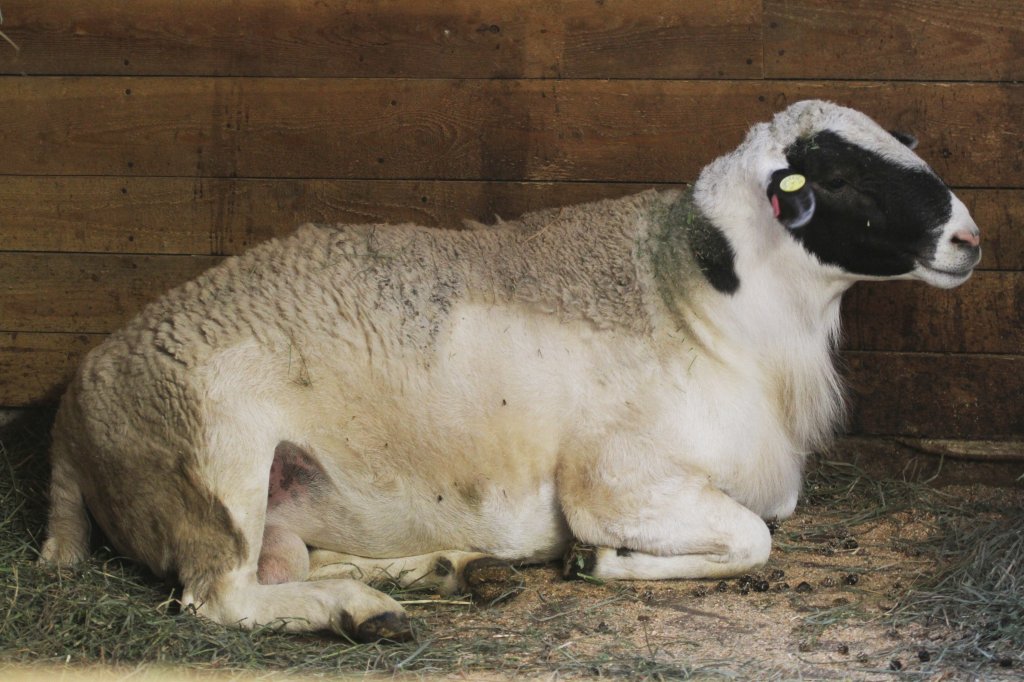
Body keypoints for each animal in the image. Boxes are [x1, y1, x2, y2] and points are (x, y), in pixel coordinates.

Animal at [41, 98, 983, 638]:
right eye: (840, 177)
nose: (970, 240)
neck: (702, 304)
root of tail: (71, 418)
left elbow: (766, 522)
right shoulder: (617, 482)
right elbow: (753, 538)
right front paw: (599, 565)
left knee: (289, 564)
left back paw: (433, 574)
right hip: (216, 462)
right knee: (223, 597)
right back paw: (369, 611)